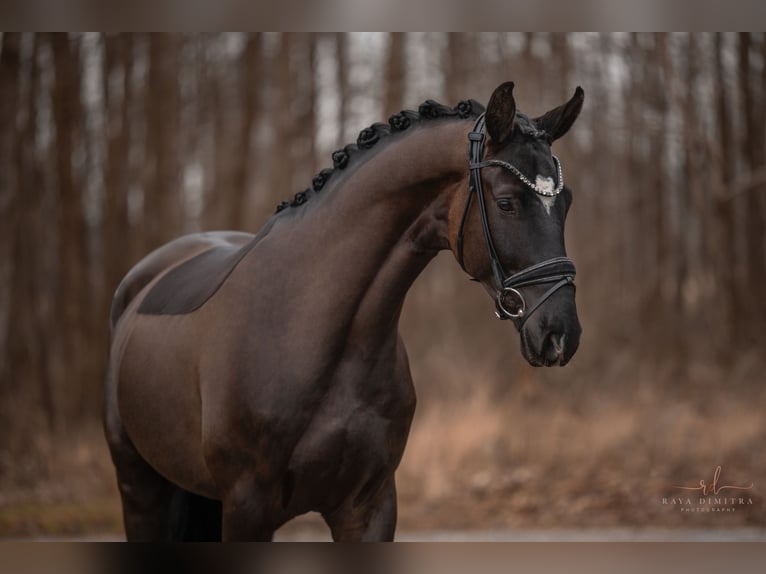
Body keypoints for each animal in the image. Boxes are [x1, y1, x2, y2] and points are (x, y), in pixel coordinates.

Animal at [105, 81, 588, 544]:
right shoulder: (247, 508)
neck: (310, 328)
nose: (560, 334)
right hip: (140, 490)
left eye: (565, 202)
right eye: (507, 202)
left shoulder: (369, 506)